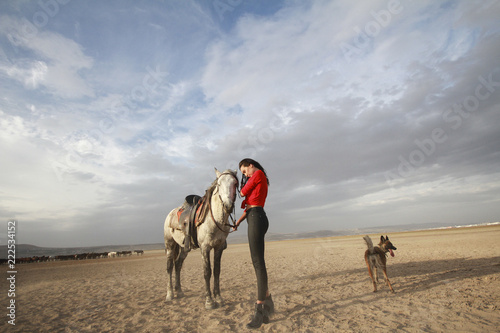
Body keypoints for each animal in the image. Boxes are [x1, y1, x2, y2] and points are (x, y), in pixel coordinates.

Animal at [162, 169, 236, 308]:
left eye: (235, 183)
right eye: (219, 184)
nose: (228, 205)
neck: (214, 220)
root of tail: (170, 214)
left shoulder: (219, 247)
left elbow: (217, 271)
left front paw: (219, 298)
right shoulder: (205, 247)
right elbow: (207, 272)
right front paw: (209, 301)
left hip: (183, 247)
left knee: (178, 264)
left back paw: (179, 291)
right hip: (170, 244)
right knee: (169, 266)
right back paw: (169, 295)